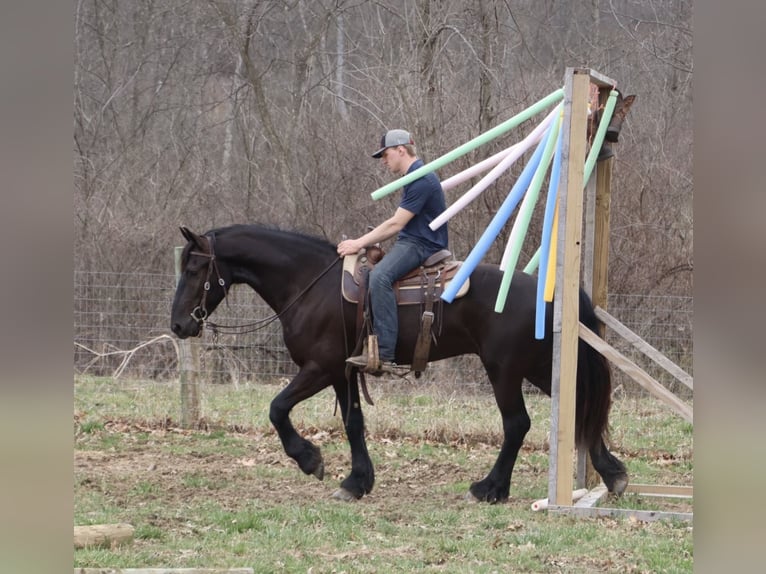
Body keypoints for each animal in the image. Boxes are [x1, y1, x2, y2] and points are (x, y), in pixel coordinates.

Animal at [171, 224, 628, 503]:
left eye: (194, 268)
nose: (177, 324)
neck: (310, 284)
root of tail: (552, 292)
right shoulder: (344, 372)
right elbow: (353, 423)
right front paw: (357, 481)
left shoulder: (320, 368)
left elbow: (277, 408)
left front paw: (310, 460)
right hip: (538, 367)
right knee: (578, 408)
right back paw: (613, 474)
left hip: (505, 371)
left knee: (517, 424)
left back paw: (489, 488)